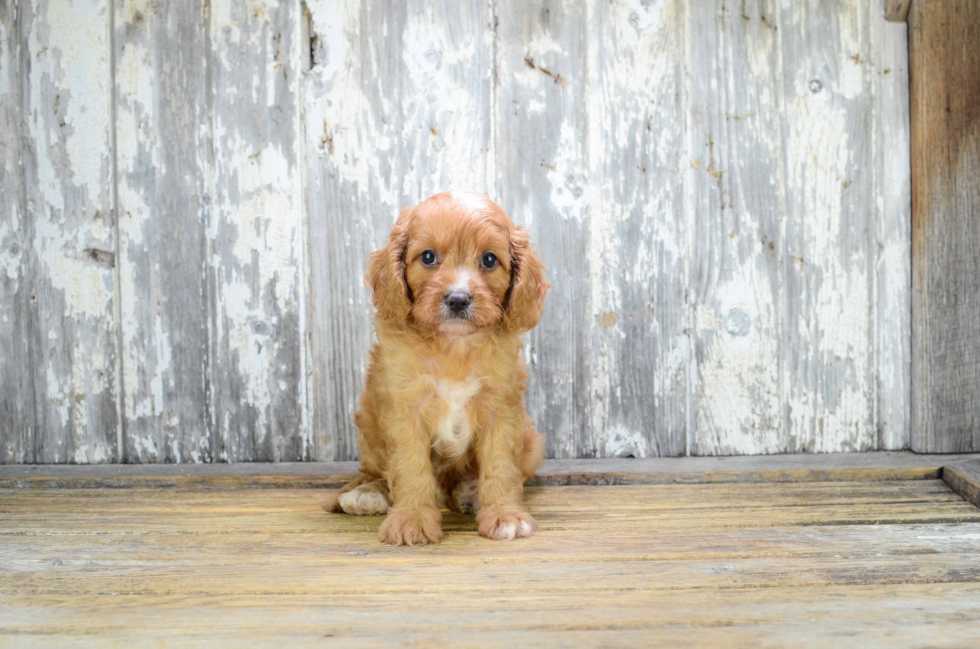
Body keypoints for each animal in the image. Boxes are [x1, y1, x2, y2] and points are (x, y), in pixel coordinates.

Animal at [326, 190, 548, 544]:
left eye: (489, 260)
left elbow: (501, 465)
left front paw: (505, 515)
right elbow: (410, 468)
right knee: (373, 471)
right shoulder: (406, 410)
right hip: (368, 427)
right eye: (428, 257)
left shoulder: (500, 409)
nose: (458, 299)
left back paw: (470, 492)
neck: (453, 346)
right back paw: (366, 493)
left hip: (533, 442)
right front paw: (411, 520)